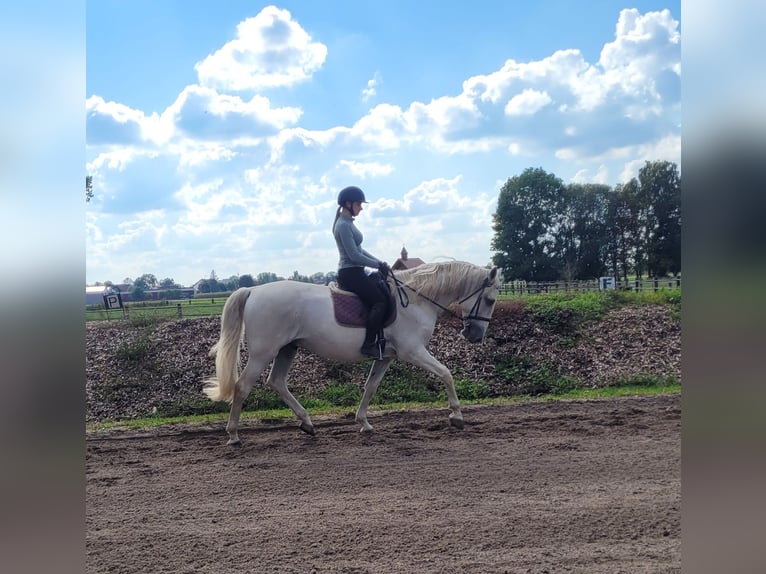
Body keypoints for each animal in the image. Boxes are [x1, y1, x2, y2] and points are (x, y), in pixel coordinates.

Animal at [203, 260, 503, 445]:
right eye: (490, 300)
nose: (475, 336)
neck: (416, 300)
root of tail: (253, 290)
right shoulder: (413, 351)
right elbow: (446, 374)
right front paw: (457, 416)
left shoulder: (386, 357)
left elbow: (370, 387)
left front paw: (364, 423)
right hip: (263, 353)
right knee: (243, 386)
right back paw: (233, 435)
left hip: (287, 349)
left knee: (276, 382)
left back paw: (307, 423)